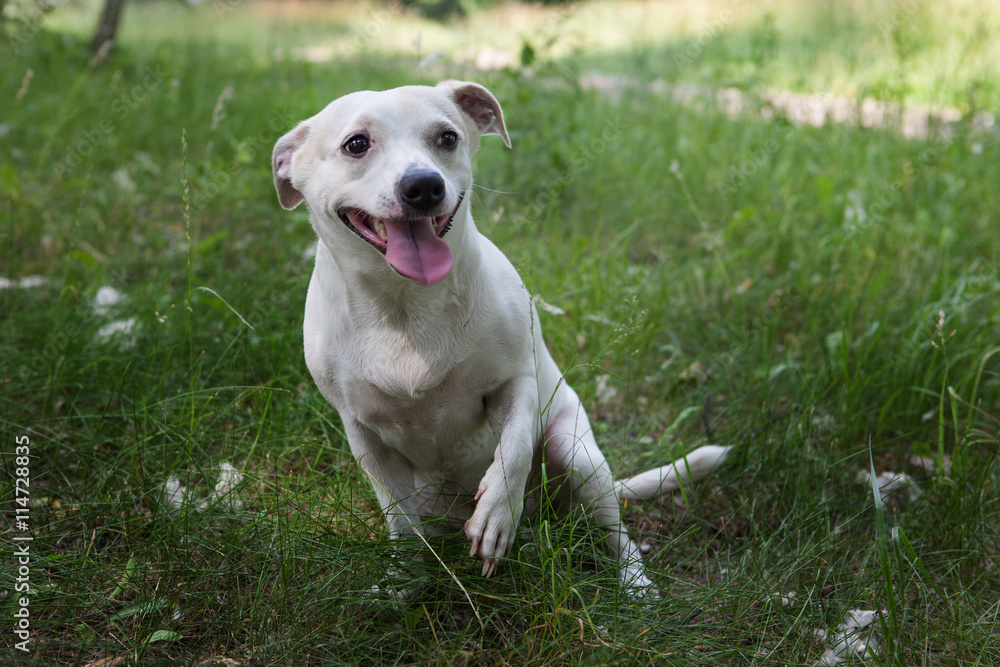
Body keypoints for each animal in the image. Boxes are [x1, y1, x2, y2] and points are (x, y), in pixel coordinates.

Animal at [272, 81, 728, 596]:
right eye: (356, 144)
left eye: (447, 138)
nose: (424, 185)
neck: (407, 304)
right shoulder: (365, 436)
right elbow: (402, 526)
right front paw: (401, 587)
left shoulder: (517, 382)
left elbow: (513, 448)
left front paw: (496, 513)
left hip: (578, 456)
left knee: (616, 532)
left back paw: (636, 585)